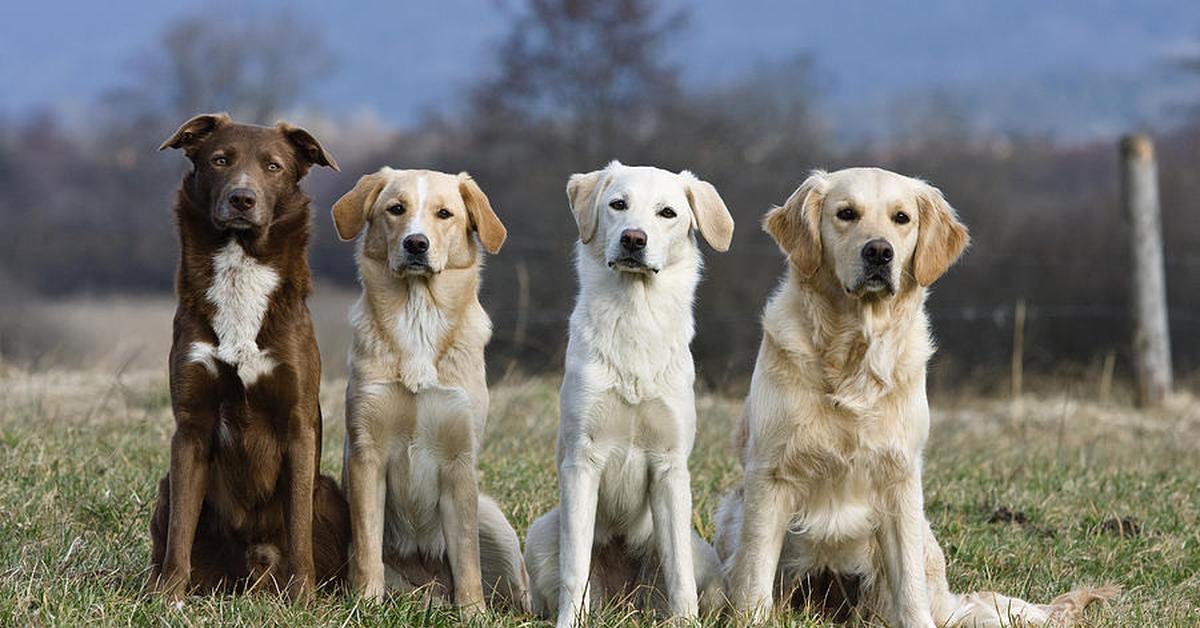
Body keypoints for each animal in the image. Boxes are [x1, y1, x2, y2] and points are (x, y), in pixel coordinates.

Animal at [147, 115, 350, 602]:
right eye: (221, 160)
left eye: (273, 166)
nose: (242, 198)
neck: (240, 265)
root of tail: (252, 573)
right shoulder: (191, 426)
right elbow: (181, 529)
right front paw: (168, 597)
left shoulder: (298, 424)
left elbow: (299, 530)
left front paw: (302, 599)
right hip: (164, 487)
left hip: (330, 493)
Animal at [333, 166, 530, 614]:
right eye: (396, 209)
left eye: (444, 214)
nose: (416, 243)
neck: (417, 313)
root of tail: (430, 590)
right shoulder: (366, 455)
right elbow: (368, 546)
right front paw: (365, 604)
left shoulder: (459, 461)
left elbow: (467, 556)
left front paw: (473, 613)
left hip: (497, 525)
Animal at [530, 163, 734, 628]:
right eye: (618, 204)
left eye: (667, 212)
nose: (633, 239)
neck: (635, 317)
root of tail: (625, 599)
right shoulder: (582, 461)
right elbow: (575, 569)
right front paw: (570, 622)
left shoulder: (670, 468)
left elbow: (680, 576)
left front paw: (686, 622)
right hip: (540, 534)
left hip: (702, 554)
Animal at [710, 168, 1113, 628]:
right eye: (845, 214)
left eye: (901, 218)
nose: (879, 252)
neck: (853, 352)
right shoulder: (770, 474)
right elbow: (755, 570)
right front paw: (750, 617)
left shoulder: (899, 477)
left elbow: (909, 584)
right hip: (732, 512)